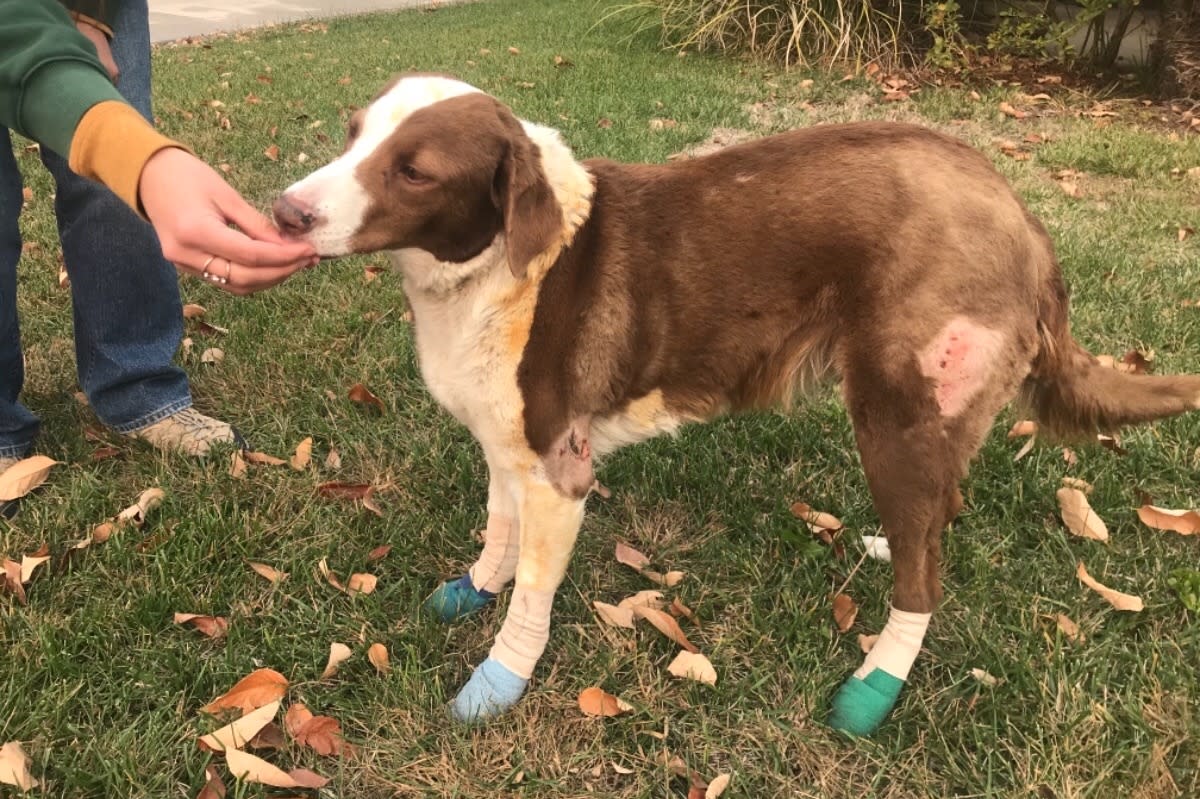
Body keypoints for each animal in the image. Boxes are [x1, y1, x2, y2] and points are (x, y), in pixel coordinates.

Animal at [276, 76, 1200, 734]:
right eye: (353, 132)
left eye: (413, 170)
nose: (284, 211)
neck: (499, 265)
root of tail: (1024, 221)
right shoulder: (508, 442)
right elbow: (497, 526)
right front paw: (475, 586)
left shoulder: (560, 470)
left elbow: (534, 593)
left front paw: (498, 678)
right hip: (939, 413)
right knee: (938, 516)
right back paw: (887, 540)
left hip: (895, 414)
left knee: (925, 577)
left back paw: (875, 681)